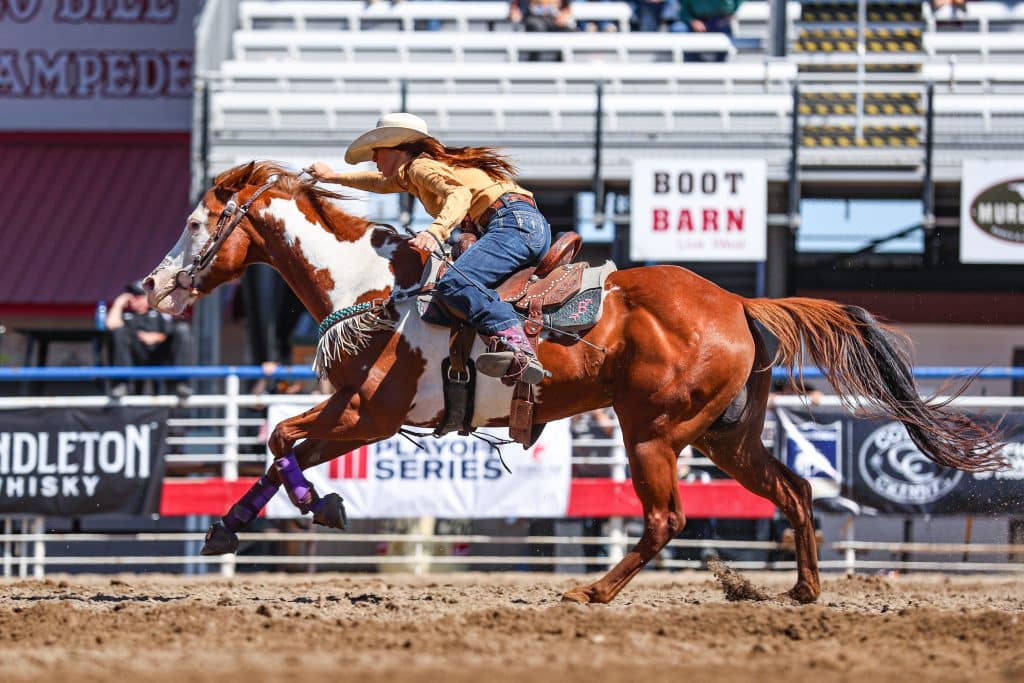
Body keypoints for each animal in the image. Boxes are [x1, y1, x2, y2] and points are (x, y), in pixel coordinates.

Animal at [148, 162, 1003, 606]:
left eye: (195, 223)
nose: (153, 286)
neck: (373, 288)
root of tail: (739, 302)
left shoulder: (368, 411)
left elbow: (280, 435)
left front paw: (320, 506)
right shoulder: (358, 415)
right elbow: (279, 448)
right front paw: (227, 527)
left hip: (653, 431)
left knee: (666, 518)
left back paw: (590, 592)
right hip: (725, 435)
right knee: (793, 489)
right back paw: (802, 592)